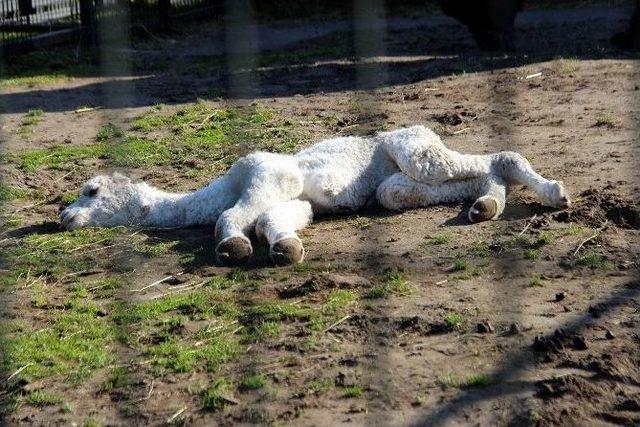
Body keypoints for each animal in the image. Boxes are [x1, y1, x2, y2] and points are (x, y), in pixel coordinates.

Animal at [60, 124, 568, 264]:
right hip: (396, 186)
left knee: (500, 156)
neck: (225, 183)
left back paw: (557, 193)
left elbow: (233, 218)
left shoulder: (269, 175)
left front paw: (233, 248)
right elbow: (273, 219)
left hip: (416, 152)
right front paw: (286, 247)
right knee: (479, 175)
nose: (64, 217)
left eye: (91, 190)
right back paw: (485, 207)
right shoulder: (292, 199)